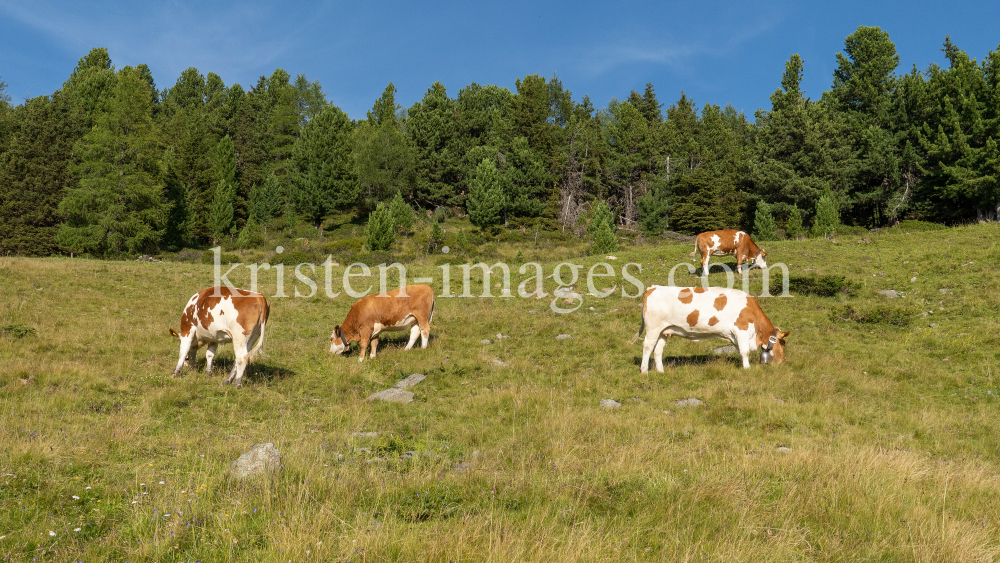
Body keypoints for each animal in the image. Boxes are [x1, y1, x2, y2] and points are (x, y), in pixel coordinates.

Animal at [632, 286, 788, 374]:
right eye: (782, 343)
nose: (783, 360)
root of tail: (652, 288)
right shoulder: (742, 330)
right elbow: (745, 351)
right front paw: (747, 368)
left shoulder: (735, 336)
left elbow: (740, 351)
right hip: (653, 327)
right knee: (647, 346)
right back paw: (644, 371)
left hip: (664, 330)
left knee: (658, 350)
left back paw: (661, 371)